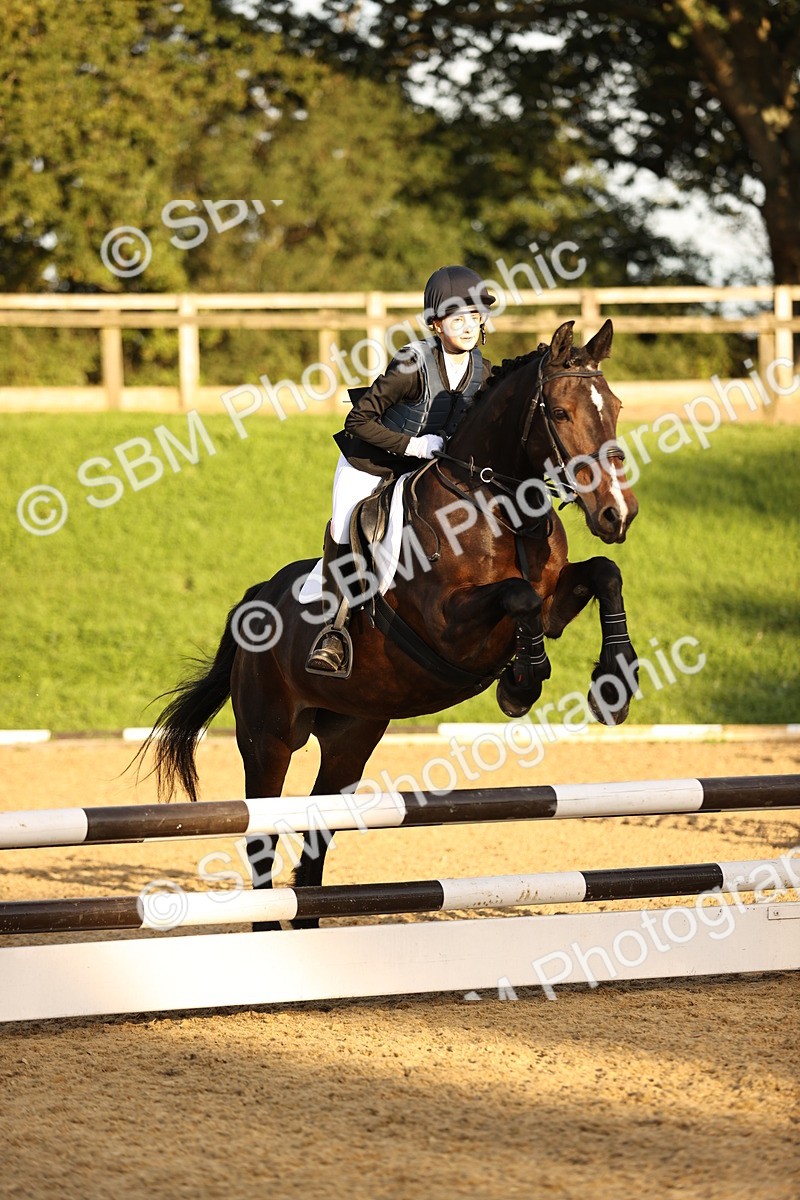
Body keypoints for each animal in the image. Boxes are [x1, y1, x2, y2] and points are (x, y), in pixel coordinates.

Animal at [143, 318, 639, 926]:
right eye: (563, 413)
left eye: (616, 407)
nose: (618, 514)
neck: (498, 504)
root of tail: (255, 599)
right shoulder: (449, 629)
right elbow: (518, 596)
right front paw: (521, 685)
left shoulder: (554, 606)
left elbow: (604, 574)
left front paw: (615, 684)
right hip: (267, 738)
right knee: (261, 836)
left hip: (350, 737)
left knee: (316, 834)